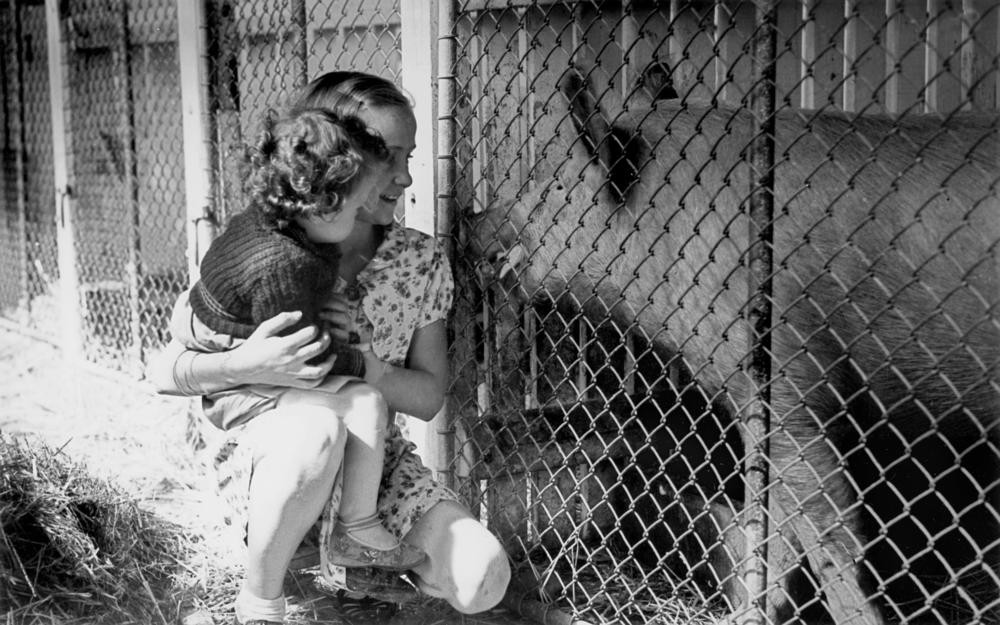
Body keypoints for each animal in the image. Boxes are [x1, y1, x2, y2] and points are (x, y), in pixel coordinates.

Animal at [468, 66, 1000, 620]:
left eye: (548, 181)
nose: (468, 218)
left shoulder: (782, 377)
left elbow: (824, 534)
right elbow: (772, 528)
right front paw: (743, 614)